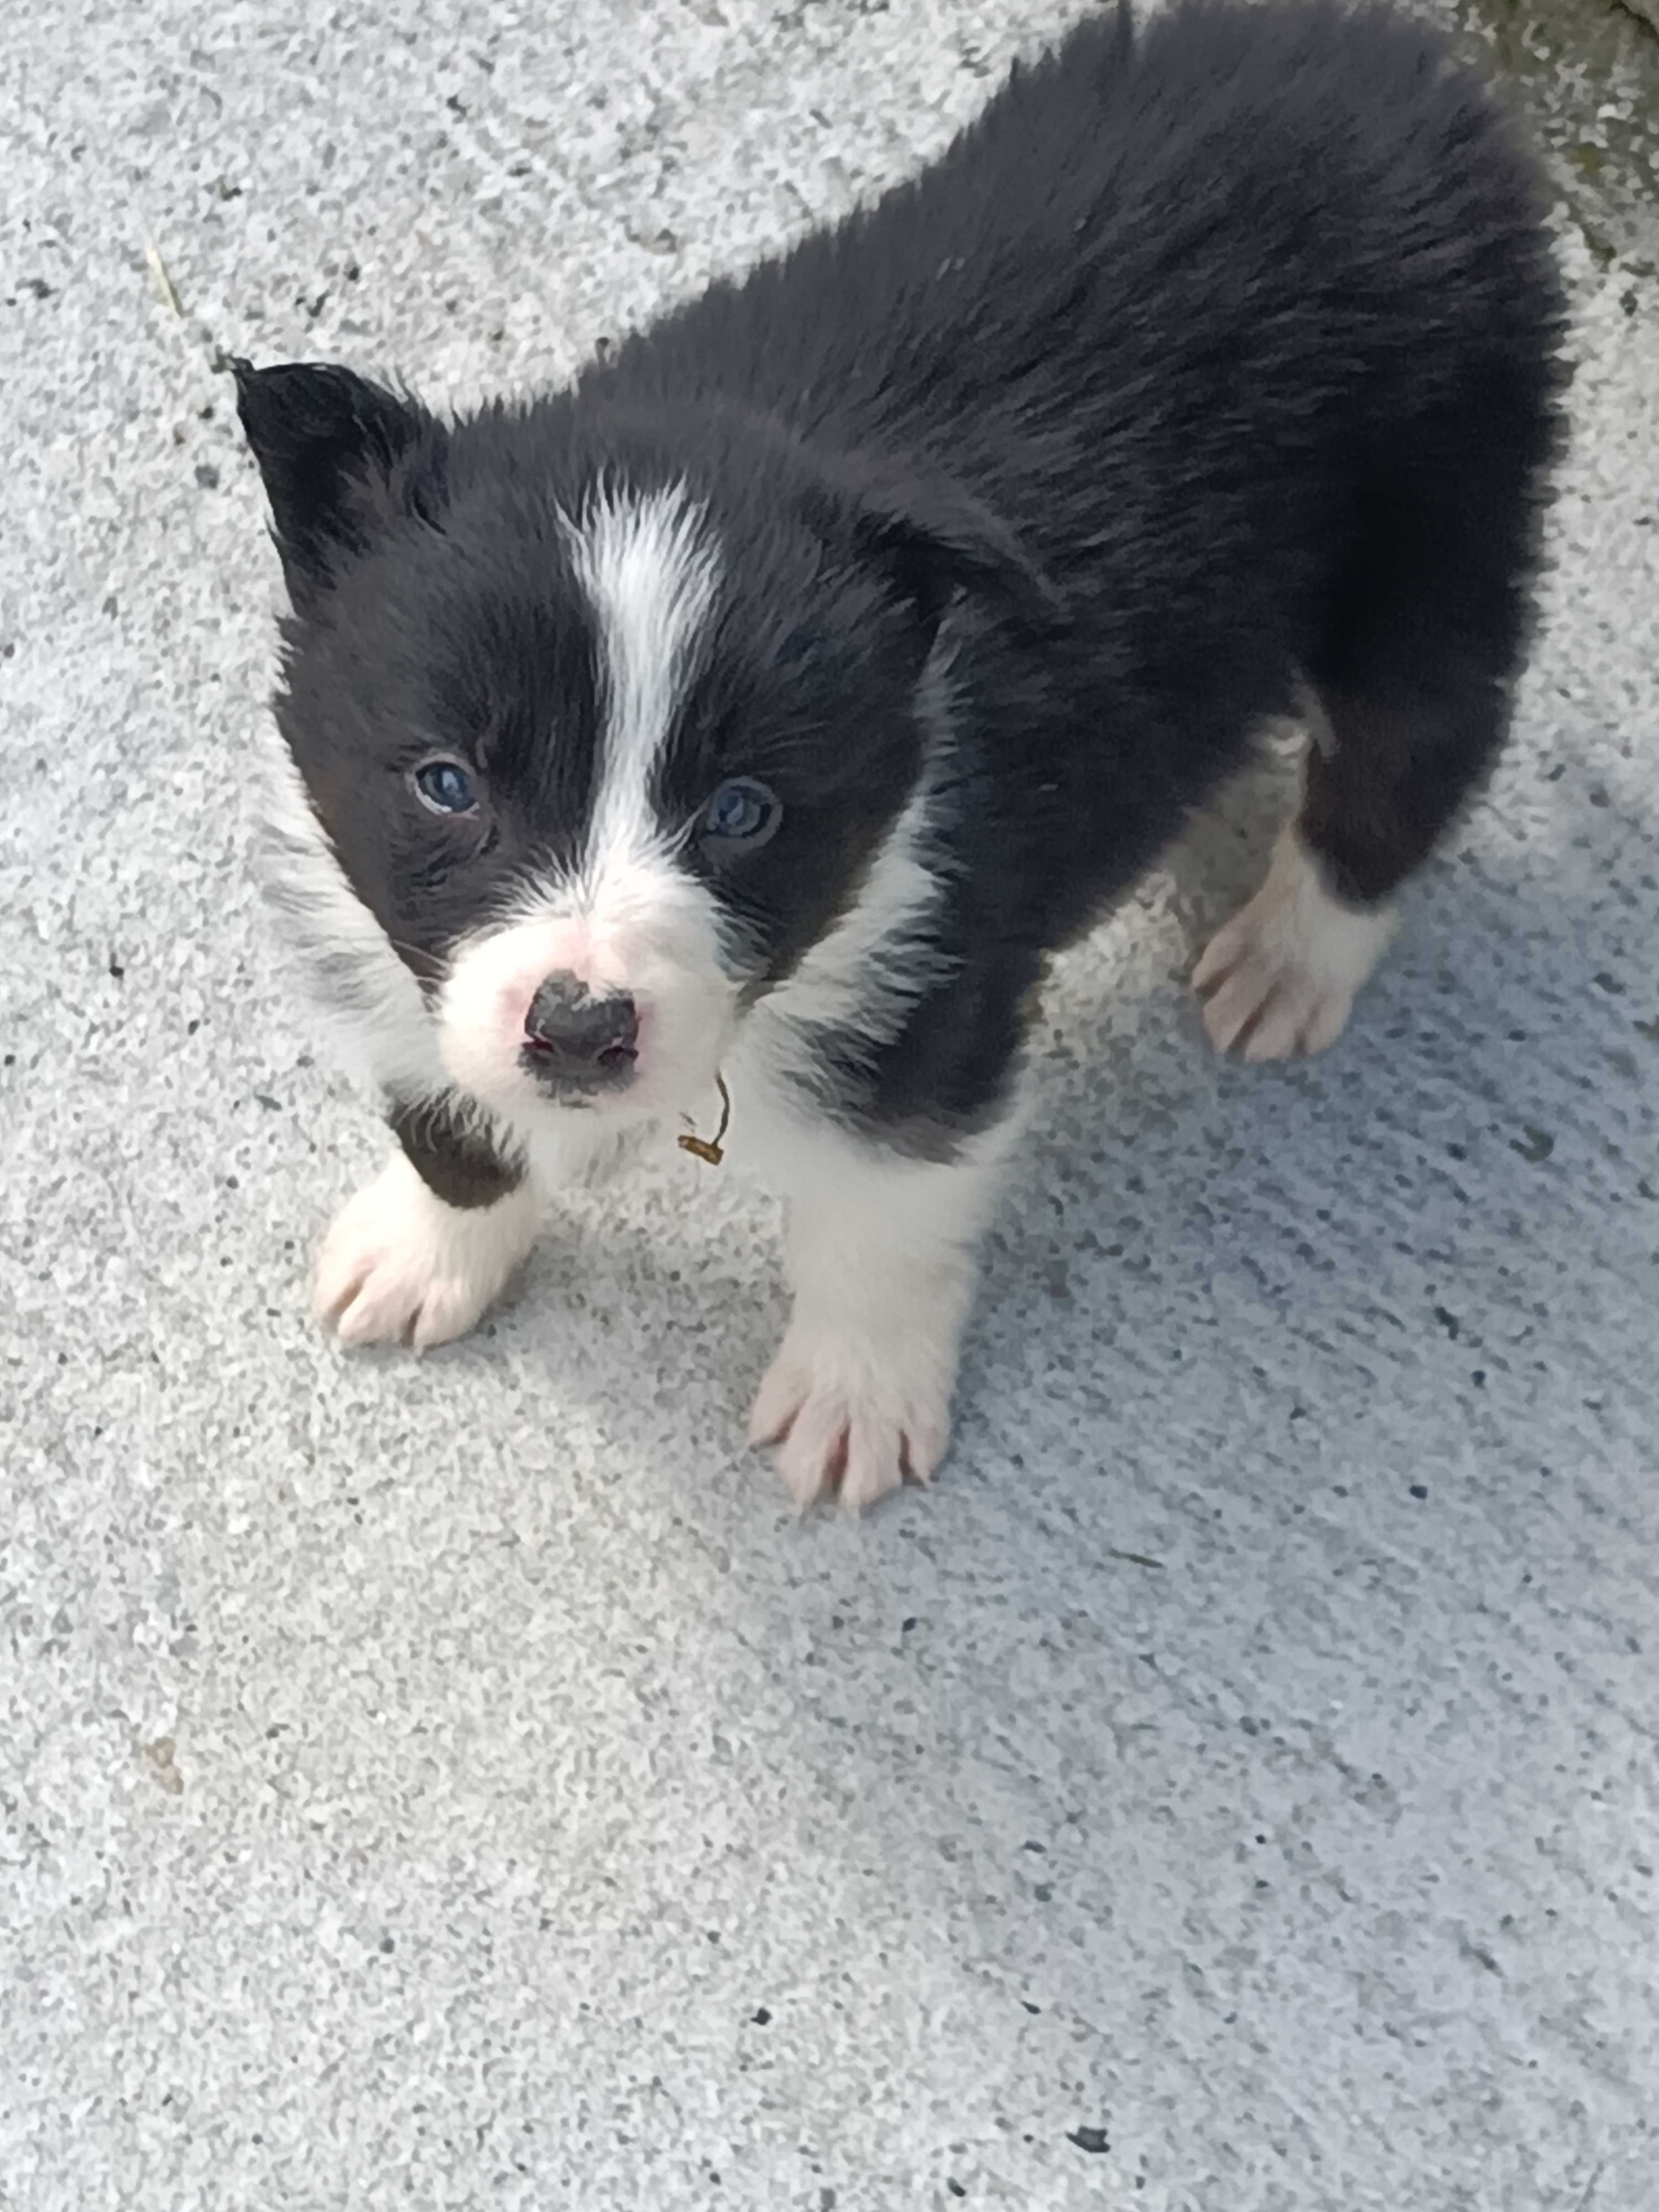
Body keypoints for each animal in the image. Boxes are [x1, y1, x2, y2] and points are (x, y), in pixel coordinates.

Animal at [237, 0, 1575, 1513]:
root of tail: (1390, 54)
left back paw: (1291, 955)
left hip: (1439, 509)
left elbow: (878, 1214)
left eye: (742, 811)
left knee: (1416, 744)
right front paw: (427, 1247)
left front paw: (853, 1398)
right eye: (448, 782)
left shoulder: (940, 982)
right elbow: (449, 1114)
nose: (580, 1029)